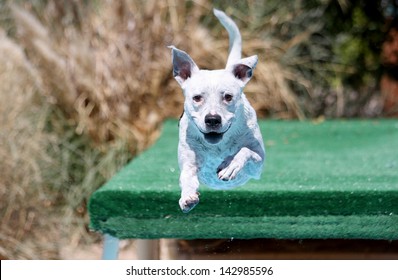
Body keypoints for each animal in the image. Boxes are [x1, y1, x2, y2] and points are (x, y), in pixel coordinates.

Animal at [169, 8, 264, 212]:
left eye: (228, 97)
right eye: (197, 97)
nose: (212, 119)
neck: (217, 146)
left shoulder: (259, 164)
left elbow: (245, 151)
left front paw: (230, 165)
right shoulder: (189, 163)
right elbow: (187, 178)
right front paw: (187, 197)